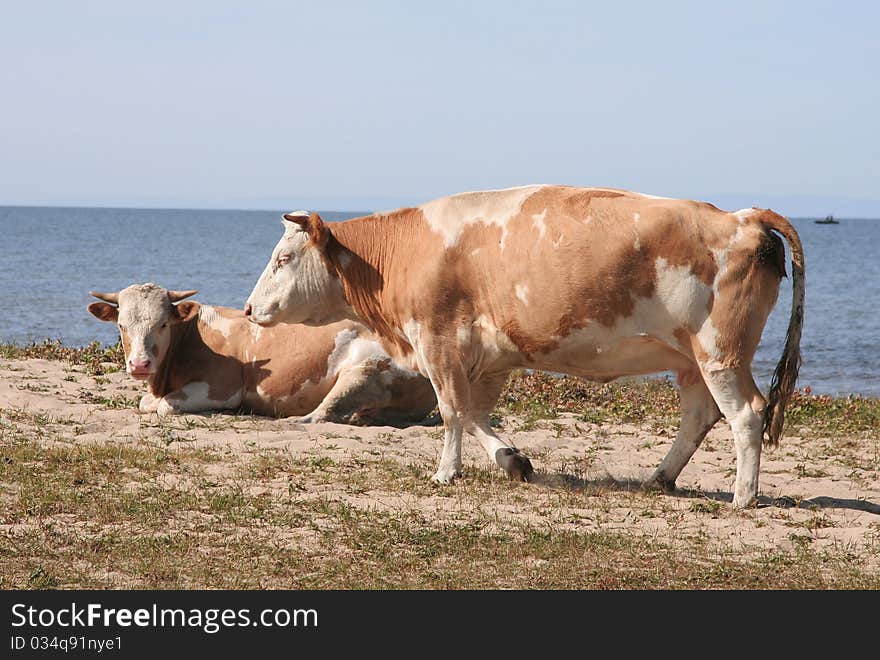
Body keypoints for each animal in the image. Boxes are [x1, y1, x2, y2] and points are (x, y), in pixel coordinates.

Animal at [86, 284, 436, 422]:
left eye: (162, 324)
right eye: (121, 325)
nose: (140, 364)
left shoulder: (223, 387)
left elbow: (163, 407)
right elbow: (147, 403)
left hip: (363, 372)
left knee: (320, 415)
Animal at [242, 186, 804, 510]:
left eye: (283, 258)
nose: (248, 309)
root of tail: (743, 217)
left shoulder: (438, 339)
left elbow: (451, 410)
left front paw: (446, 472)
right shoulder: (491, 354)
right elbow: (473, 412)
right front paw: (512, 460)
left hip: (720, 352)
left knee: (746, 413)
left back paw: (743, 496)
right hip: (690, 359)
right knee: (699, 415)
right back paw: (660, 477)